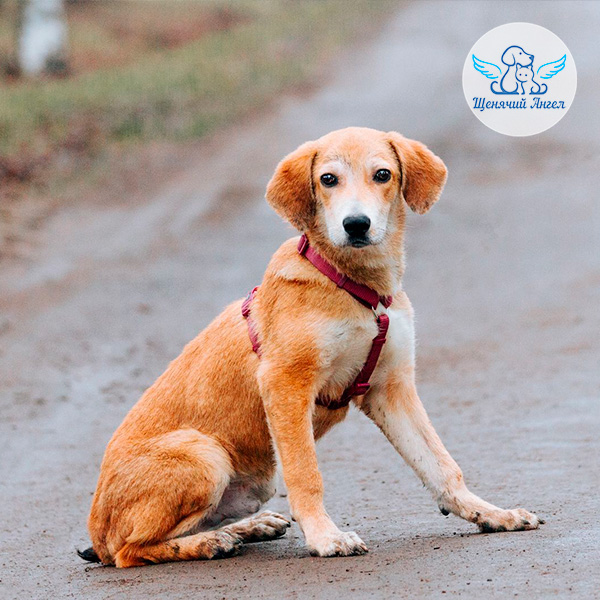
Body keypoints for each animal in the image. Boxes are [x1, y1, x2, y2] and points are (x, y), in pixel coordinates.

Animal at [79, 127, 542, 568]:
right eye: (328, 179)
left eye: (383, 174)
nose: (356, 225)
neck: (356, 287)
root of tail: (96, 533)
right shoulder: (285, 384)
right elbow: (306, 475)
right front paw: (325, 537)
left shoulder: (390, 389)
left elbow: (442, 466)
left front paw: (490, 513)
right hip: (203, 453)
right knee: (132, 550)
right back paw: (210, 543)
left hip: (252, 480)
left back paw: (248, 527)